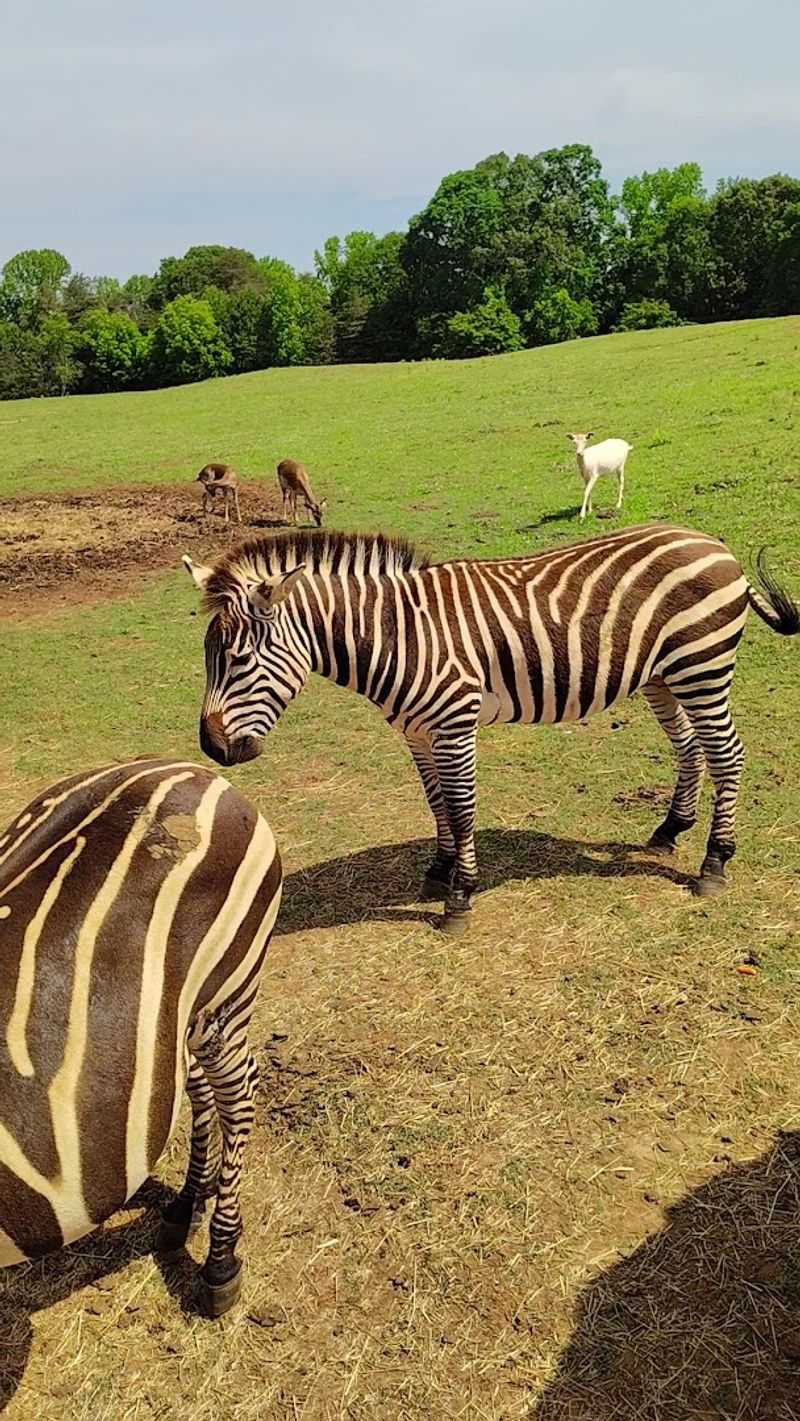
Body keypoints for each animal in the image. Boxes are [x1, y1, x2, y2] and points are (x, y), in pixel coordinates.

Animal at [0, 755, 282, 1316]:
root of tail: (195, 769)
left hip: (227, 988)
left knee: (237, 1095)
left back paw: (220, 1262)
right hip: (179, 1014)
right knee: (198, 1088)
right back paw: (185, 1204)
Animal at [182, 524, 799, 932]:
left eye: (238, 659)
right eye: (207, 658)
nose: (211, 747)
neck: (398, 634)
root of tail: (711, 540)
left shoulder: (454, 723)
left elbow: (460, 808)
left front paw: (461, 895)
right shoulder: (415, 731)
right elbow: (435, 804)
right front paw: (439, 868)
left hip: (701, 666)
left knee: (728, 754)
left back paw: (715, 862)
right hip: (663, 677)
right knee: (691, 748)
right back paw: (670, 829)